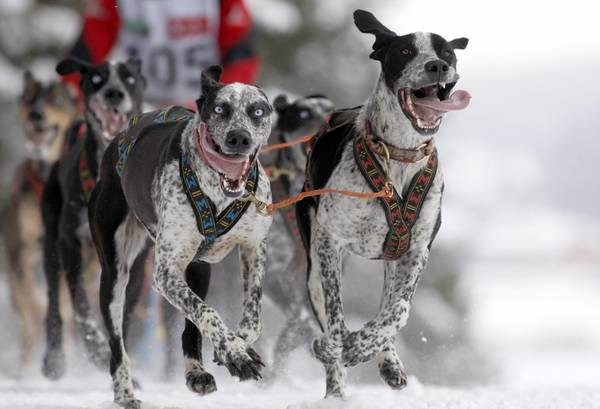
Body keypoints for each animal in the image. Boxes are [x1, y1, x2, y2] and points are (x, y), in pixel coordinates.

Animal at [42, 55, 145, 378]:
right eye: (96, 80)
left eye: (130, 78)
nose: (113, 93)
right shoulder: (69, 243)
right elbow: (80, 305)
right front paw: (96, 347)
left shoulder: (138, 260)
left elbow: (124, 312)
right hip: (51, 244)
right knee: (54, 302)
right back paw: (54, 359)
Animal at [89, 65, 274, 406]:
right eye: (220, 109)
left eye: (257, 111)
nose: (239, 137)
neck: (219, 194)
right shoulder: (165, 273)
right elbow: (208, 312)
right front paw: (235, 353)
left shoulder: (254, 248)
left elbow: (251, 317)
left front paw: (237, 346)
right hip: (116, 276)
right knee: (118, 342)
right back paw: (124, 392)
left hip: (196, 269)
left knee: (192, 324)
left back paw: (196, 372)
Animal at [298, 9, 472, 396]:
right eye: (405, 51)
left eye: (447, 53)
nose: (437, 66)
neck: (399, 154)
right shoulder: (330, 243)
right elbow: (335, 320)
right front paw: (341, 349)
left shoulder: (415, 251)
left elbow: (398, 312)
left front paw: (366, 346)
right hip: (315, 262)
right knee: (326, 313)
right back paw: (336, 388)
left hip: (392, 260)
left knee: (388, 308)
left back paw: (387, 360)